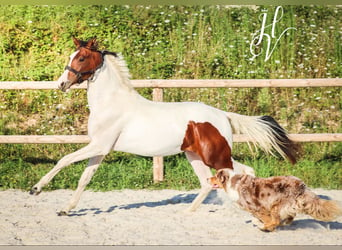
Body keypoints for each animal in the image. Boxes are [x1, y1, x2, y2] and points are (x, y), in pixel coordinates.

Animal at [30, 38, 300, 216]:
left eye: (82, 57)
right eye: (71, 56)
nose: (61, 84)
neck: (111, 103)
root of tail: (222, 114)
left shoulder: (99, 145)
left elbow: (64, 160)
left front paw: (36, 189)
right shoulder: (100, 149)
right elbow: (84, 179)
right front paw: (66, 209)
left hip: (217, 156)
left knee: (242, 172)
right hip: (195, 155)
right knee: (209, 182)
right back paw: (188, 212)